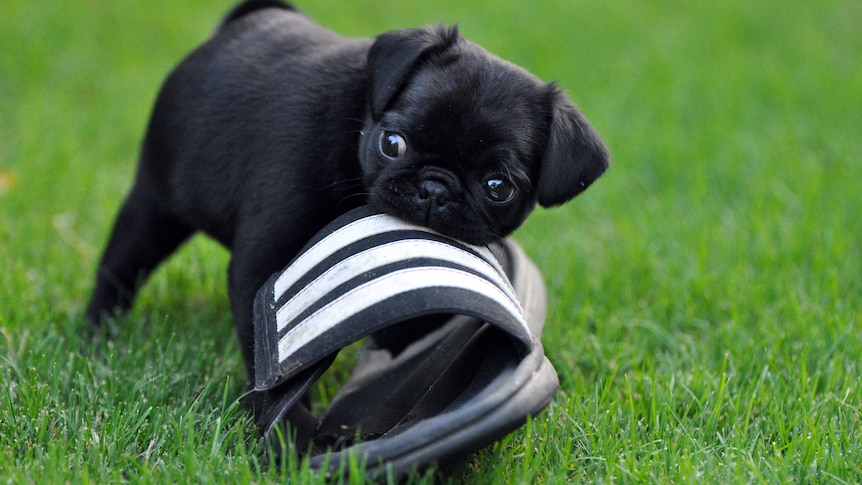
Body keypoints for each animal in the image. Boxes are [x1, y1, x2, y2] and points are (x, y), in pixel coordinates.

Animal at [84, 0, 612, 382]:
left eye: (498, 187)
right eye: (392, 143)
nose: (434, 187)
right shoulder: (261, 263)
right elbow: (268, 361)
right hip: (155, 206)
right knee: (120, 267)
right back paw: (95, 336)